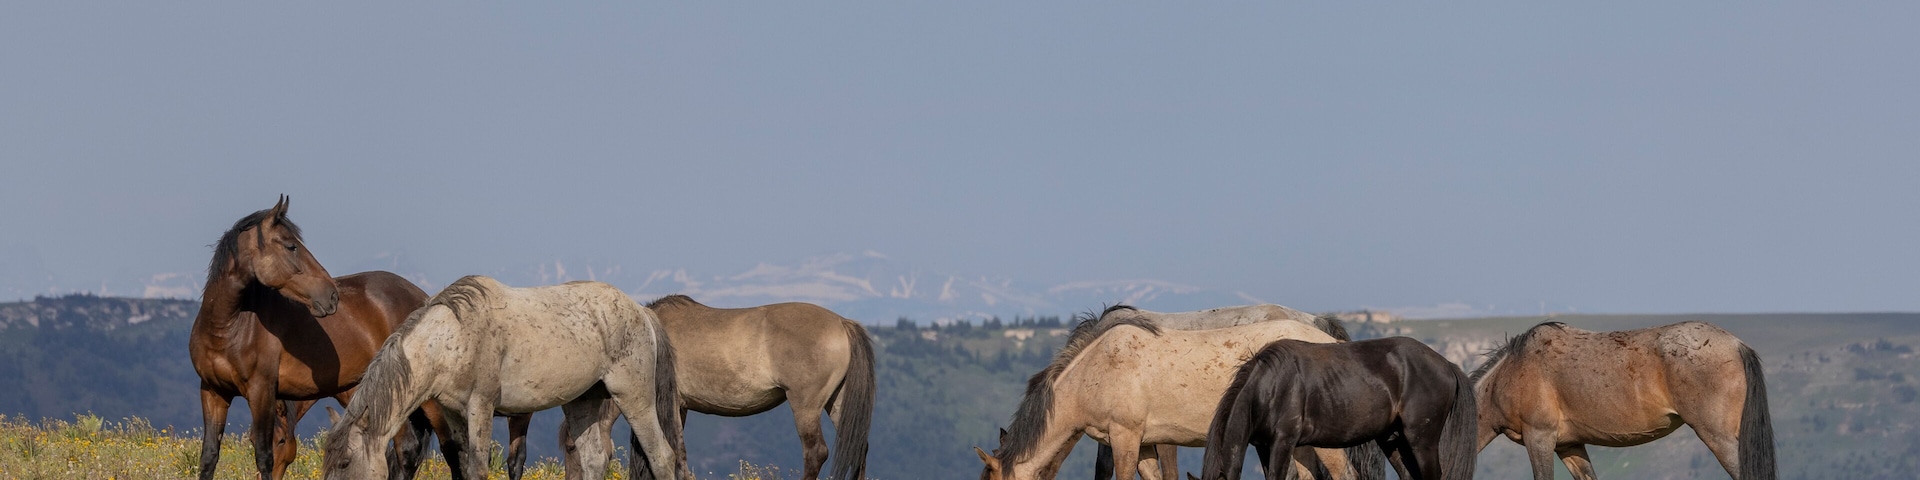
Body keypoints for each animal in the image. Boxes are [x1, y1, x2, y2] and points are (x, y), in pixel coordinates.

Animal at [188, 195, 451, 479]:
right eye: (291, 246)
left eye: (282, 441)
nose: (331, 295)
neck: (227, 328)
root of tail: (423, 298)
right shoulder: (213, 392)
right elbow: (209, 456)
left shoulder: (261, 392)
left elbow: (264, 457)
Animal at [320, 276, 690, 480]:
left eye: (346, 463)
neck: (453, 338)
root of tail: (642, 311)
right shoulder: (454, 415)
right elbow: (464, 466)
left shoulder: (481, 408)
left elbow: (478, 468)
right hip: (583, 401)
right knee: (595, 459)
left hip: (634, 397)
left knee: (662, 456)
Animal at [561, 294, 875, 480]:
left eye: (570, 448)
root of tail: (842, 323)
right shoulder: (680, 407)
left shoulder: (669, 404)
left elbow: (676, 451)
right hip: (836, 402)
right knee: (858, 446)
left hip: (805, 406)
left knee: (816, 452)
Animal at [1192, 337, 1475, 480]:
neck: (1268, 387)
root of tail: (1447, 365)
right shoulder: (1264, 446)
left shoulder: (1283, 442)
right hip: (1393, 441)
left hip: (1421, 440)